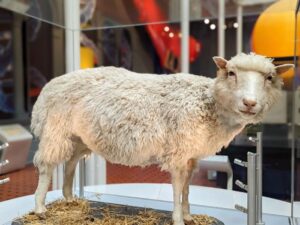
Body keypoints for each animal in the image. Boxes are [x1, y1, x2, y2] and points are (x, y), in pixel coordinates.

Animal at [32, 53, 292, 225]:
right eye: (231, 73)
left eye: (270, 78)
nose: (250, 103)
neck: (208, 104)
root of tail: (48, 87)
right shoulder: (178, 152)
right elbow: (177, 188)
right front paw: (178, 219)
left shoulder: (191, 156)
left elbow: (187, 188)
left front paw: (188, 215)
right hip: (55, 130)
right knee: (46, 167)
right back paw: (40, 207)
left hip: (78, 138)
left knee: (70, 164)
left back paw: (69, 199)